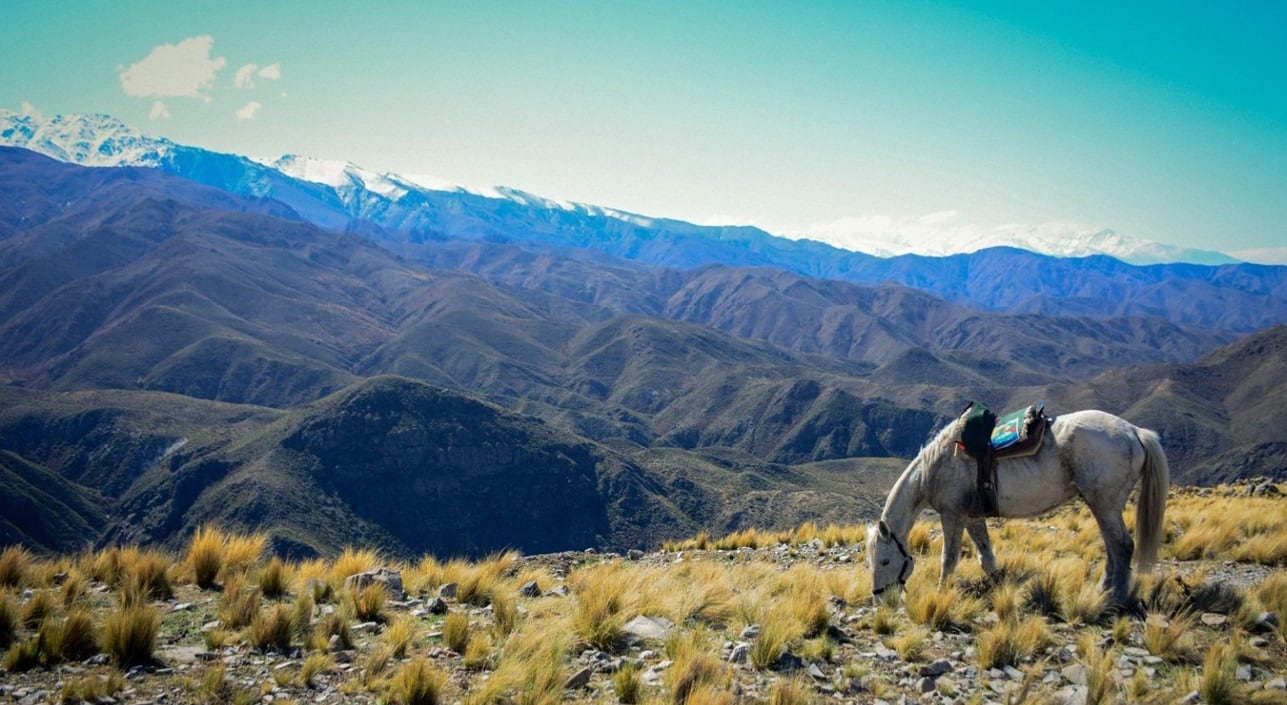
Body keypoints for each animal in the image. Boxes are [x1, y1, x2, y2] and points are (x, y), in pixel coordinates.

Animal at [870, 406, 1173, 604]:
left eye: (885, 560)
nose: (880, 601)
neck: (935, 467)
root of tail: (1134, 432)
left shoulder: (953, 514)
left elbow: (949, 558)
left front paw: (940, 593)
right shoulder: (972, 517)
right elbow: (986, 556)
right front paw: (998, 584)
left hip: (1105, 504)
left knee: (1122, 546)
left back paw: (1113, 598)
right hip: (1102, 505)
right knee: (1113, 548)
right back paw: (1104, 590)